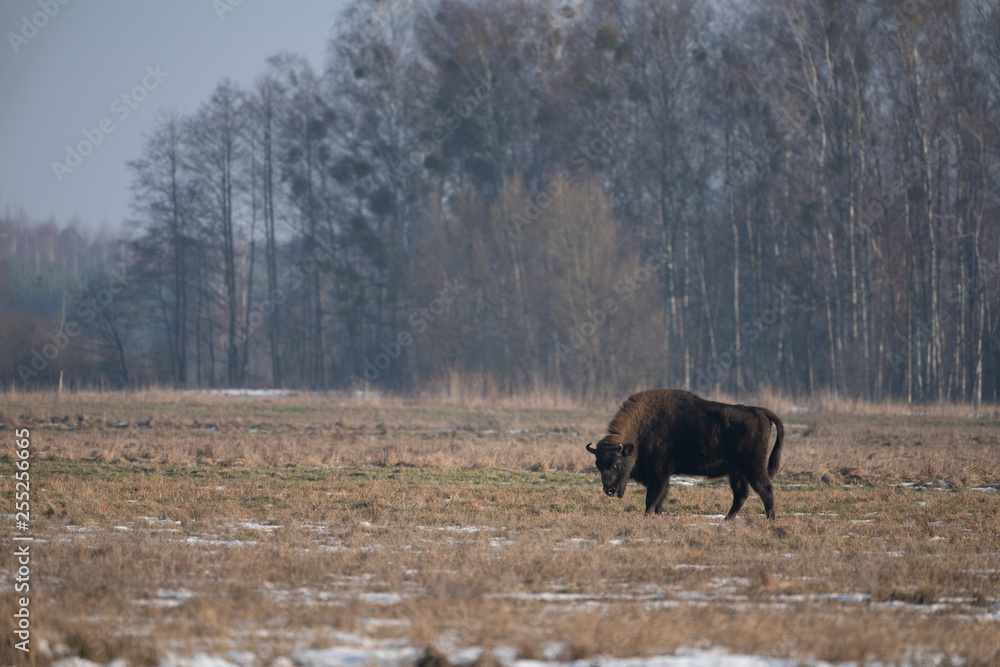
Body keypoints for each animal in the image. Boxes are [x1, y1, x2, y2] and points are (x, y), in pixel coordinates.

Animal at [586, 389, 784, 520]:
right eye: (598, 465)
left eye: (617, 464)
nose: (609, 490)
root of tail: (760, 411)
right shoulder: (663, 477)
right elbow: (660, 498)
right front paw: (657, 515)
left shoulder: (659, 474)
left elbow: (652, 498)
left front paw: (647, 515)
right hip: (737, 472)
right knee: (741, 494)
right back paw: (727, 520)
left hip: (753, 466)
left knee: (765, 489)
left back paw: (770, 520)